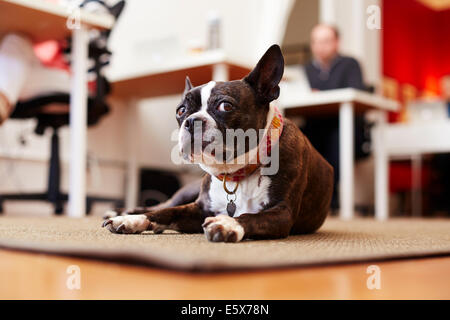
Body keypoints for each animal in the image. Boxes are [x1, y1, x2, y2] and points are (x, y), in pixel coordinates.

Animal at [103, 43, 334, 241]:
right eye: (181, 110)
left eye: (225, 106)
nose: (191, 121)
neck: (236, 173)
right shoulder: (199, 207)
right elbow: (165, 212)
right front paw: (133, 220)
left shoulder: (282, 213)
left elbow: (251, 217)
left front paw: (228, 223)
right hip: (187, 192)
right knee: (161, 204)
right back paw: (123, 211)